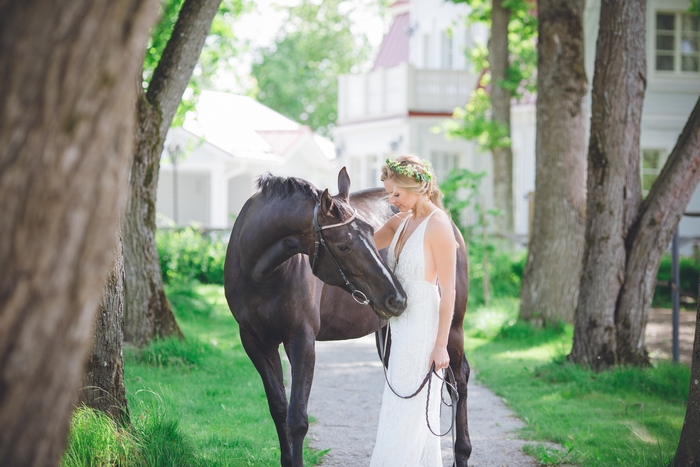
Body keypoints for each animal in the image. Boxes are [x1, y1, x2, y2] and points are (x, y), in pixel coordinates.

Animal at [226, 169, 470, 467]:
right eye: (343, 246)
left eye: (371, 233)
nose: (397, 298)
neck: (260, 274)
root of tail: (443, 217)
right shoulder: (256, 343)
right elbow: (279, 410)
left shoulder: (301, 340)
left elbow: (297, 419)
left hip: (452, 329)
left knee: (458, 381)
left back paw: (462, 452)